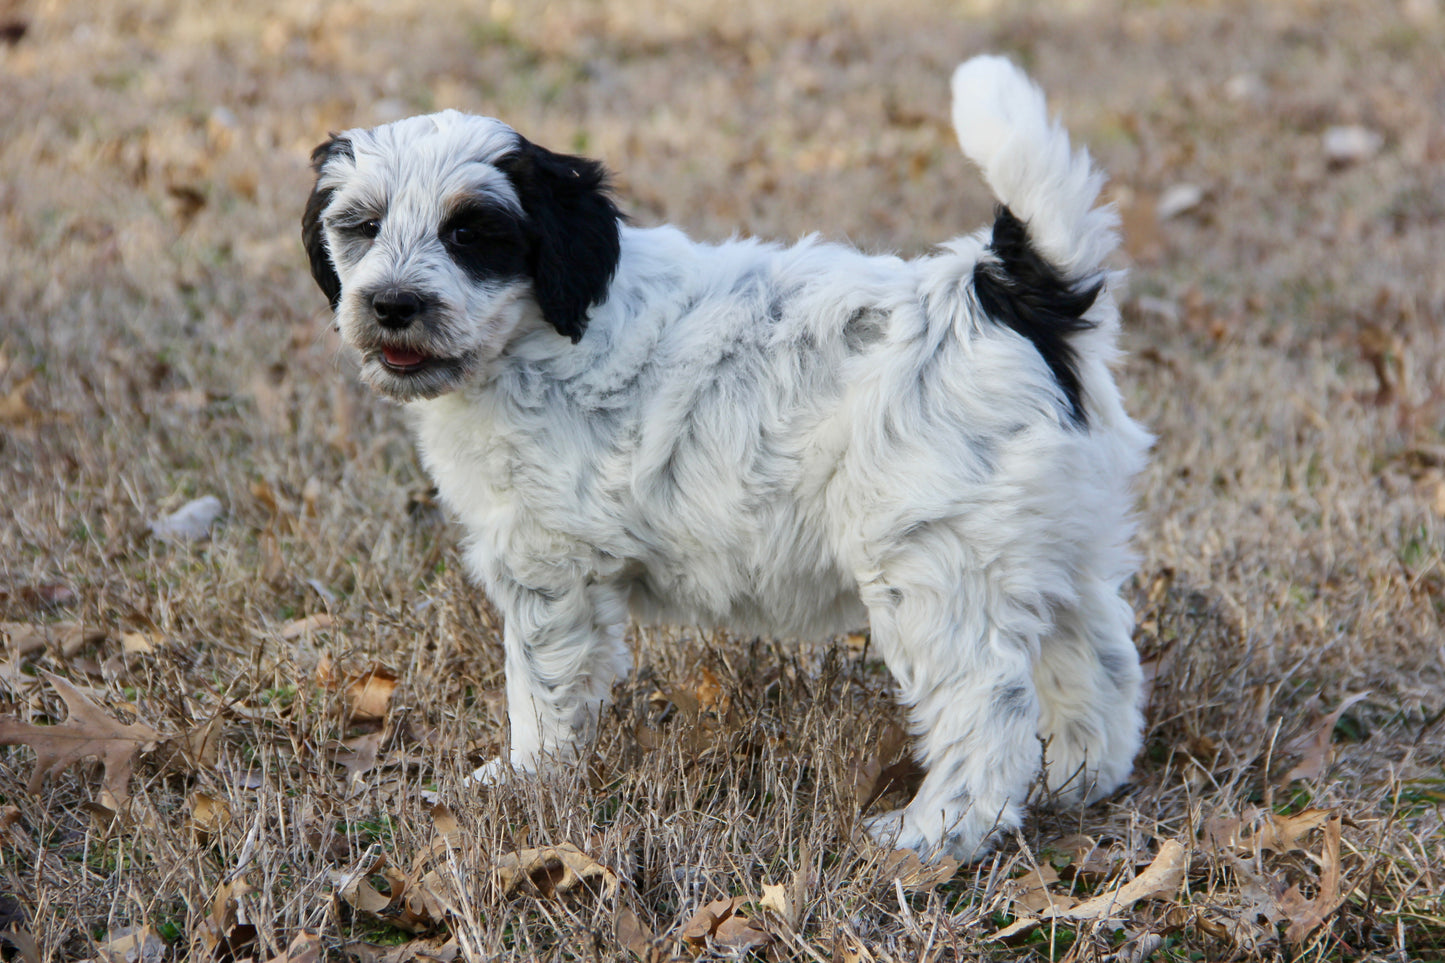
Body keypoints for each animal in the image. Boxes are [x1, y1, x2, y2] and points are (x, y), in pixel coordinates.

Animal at [302, 56, 1150, 856]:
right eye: (362, 226)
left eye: (469, 234)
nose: (391, 304)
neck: (537, 331)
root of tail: (1005, 292)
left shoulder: (550, 567)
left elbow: (539, 686)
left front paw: (521, 780)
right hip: (1053, 543)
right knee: (1099, 663)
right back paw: (1075, 778)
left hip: (936, 566)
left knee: (983, 706)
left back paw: (933, 835)